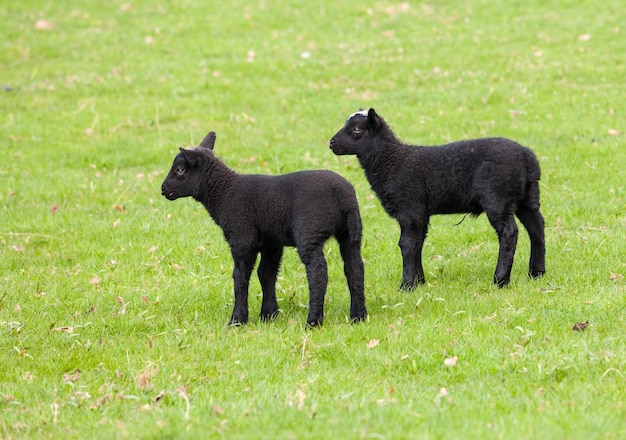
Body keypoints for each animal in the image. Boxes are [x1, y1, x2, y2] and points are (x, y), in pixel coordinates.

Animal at [160, 131, 366, 326]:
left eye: (180, 170)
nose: (163, 189)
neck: (224, 193)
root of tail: (341, 193)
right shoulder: (271, 243)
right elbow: (266, 274)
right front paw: (269, 314)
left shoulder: (242, 239)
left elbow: (240, 278)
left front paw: (238, 320)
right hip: (350, 233)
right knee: (355, 268)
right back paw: (358, 316)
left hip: (310, 232)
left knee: (318, 273)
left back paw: (313, 322)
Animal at [330, 108, 544, 288]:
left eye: (357, 129)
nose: (331, 143)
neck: (392, 162)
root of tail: (527, 156)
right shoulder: (419, 213)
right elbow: (418, 243)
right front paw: (419, 282)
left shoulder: (409, 207)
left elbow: (406, 244)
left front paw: (406, 285)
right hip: (523, 199)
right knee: (536, 226)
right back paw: (537, 273)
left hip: (497, 198)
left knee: (509, 232)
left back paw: (500, 280)